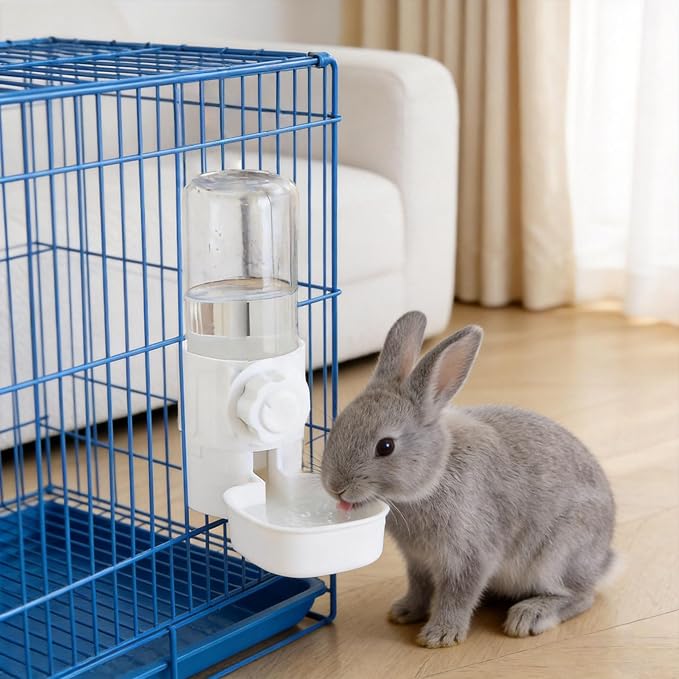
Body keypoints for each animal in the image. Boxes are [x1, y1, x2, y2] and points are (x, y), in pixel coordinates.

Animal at [320, 311, 616, 648]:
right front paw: (404, 612)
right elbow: (419, 586)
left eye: (385, 446)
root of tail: (603, 559)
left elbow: (458, 595)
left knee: (579, 596)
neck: (435, 474)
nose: (335, 487)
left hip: (558, 555)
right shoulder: (418, 561)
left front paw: (440, 635)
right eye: (338, 424)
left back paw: (528, 616)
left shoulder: (470, 556)